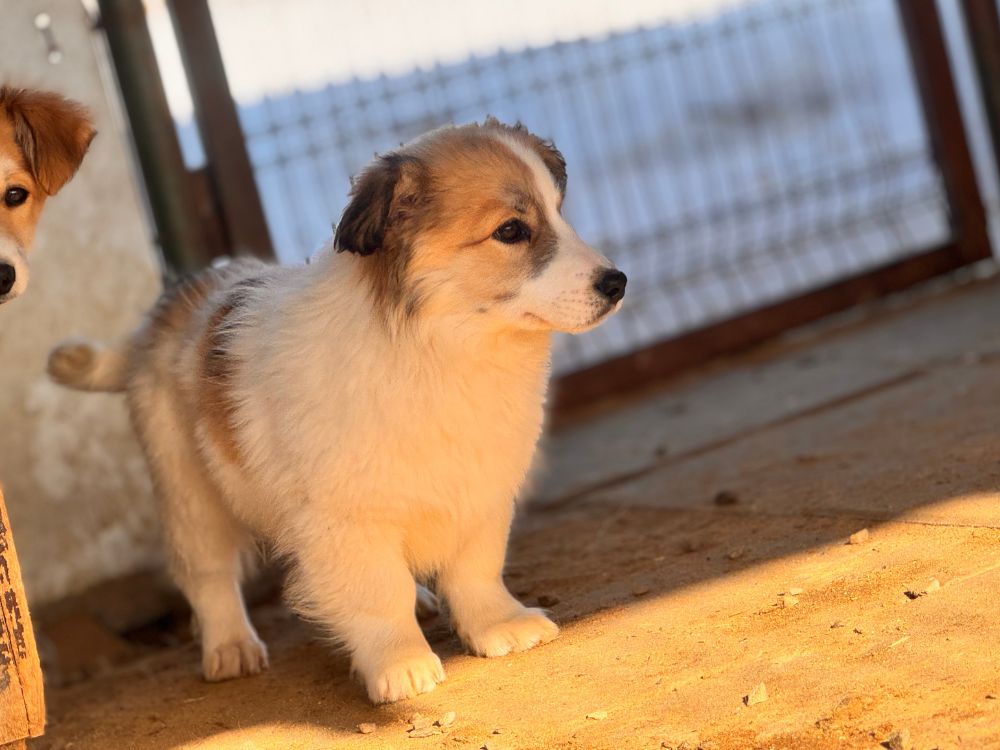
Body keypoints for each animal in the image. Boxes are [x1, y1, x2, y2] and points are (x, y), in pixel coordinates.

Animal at [48, 119, 627, 703]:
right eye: (511, 231)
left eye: (560, 211)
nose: (617, 283)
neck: (436, 346)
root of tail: (168, 309)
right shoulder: (348, 519)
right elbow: (379, 596)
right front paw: (400, 663)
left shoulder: (480, 490)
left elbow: (476, 570)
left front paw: (499, 625)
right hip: (190, 495)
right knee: (209, 577)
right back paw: (230, 647)